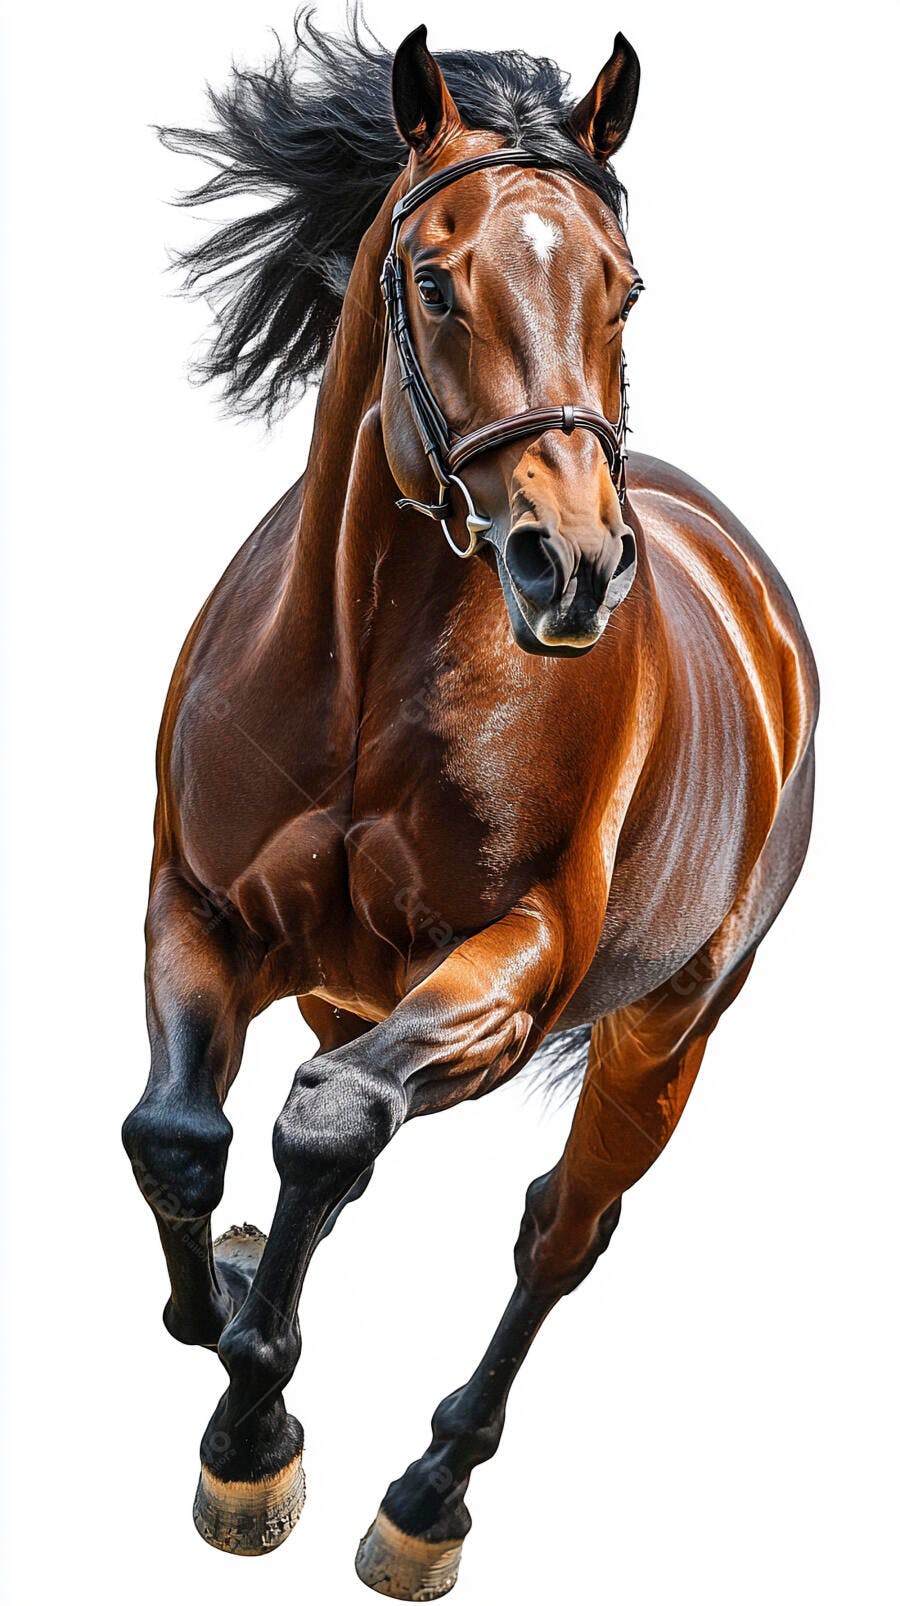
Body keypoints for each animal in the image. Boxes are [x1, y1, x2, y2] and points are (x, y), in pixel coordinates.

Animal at [122, 20, 818, 1598]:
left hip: (664, 1033)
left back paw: (426, 1499)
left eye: (624, 285)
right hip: (343, 982)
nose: (573, 565)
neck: (364, 670)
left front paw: (254, 1436)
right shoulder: (199, 907)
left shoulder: (514, 967)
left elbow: (326, 1126)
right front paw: (232, 1325)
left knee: (558, 1232)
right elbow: (180, 1136)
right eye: (436, 278)